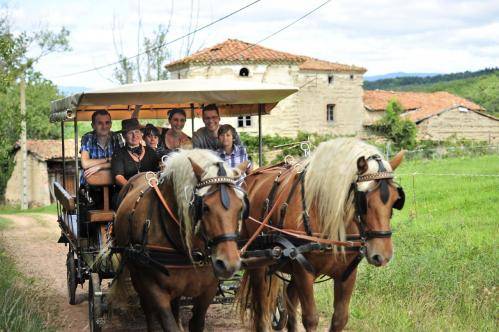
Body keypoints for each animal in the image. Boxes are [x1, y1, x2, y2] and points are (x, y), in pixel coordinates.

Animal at [105, 149, 248, 330]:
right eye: (205, 207)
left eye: (241, 207)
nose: (229, 264)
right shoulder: (154, 288)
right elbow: (167, 322)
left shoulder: (208, 289)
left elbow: (196, 322)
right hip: (136, 272)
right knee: (148, 309)